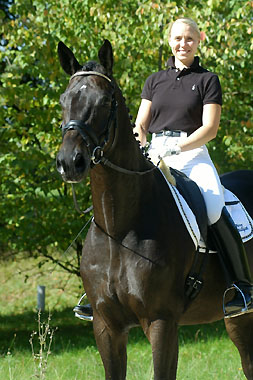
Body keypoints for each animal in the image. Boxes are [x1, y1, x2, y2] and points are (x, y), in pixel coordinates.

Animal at [55, 40, 253, 378]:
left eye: (105, 100)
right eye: (64, 100)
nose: (70, 162)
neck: (119, 228)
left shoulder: (161, 322)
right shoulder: (106, 326)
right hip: (237, 318)